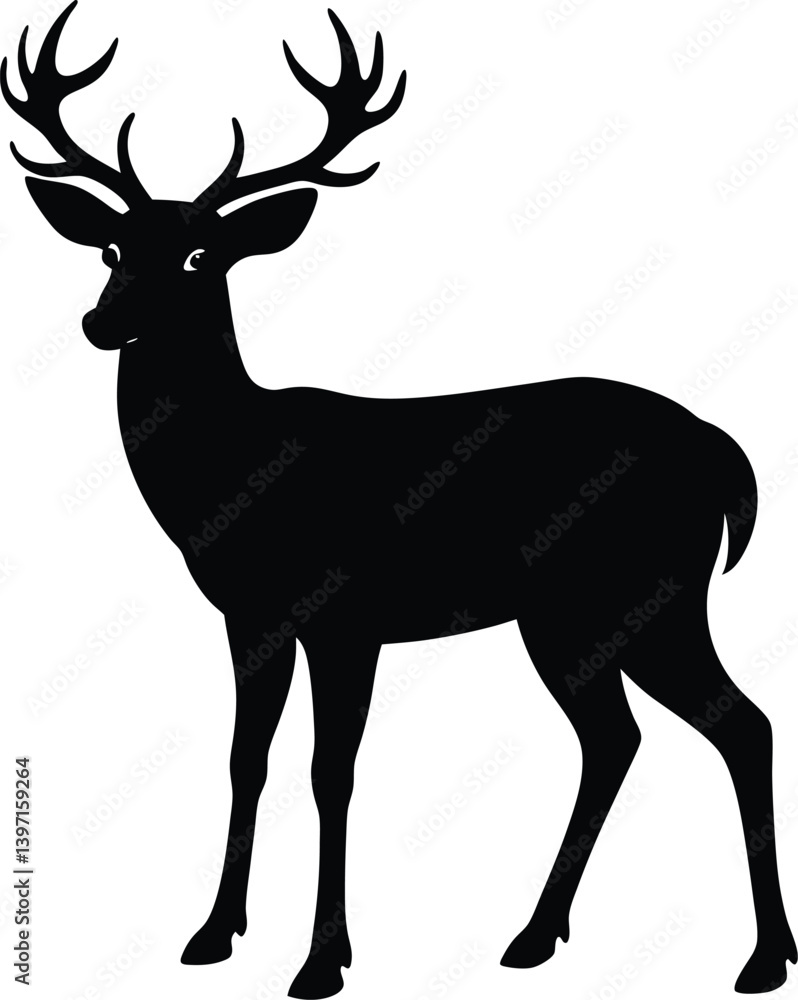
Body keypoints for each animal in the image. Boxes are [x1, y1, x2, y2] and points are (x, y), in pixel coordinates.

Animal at [3, 2, 796, 996]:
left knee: (743, 725)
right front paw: (214, 933)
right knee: (617, 739)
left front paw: (323, 961)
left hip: (652, 594)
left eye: (198, 254)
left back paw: (761, 957)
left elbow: (330, 772)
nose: (101, 321)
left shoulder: (345, 613)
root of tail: (728, 455)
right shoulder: (250, 615)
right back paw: (536, 935)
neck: (234, 473)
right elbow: (246, 759)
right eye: (112, 245)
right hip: (569, 620)